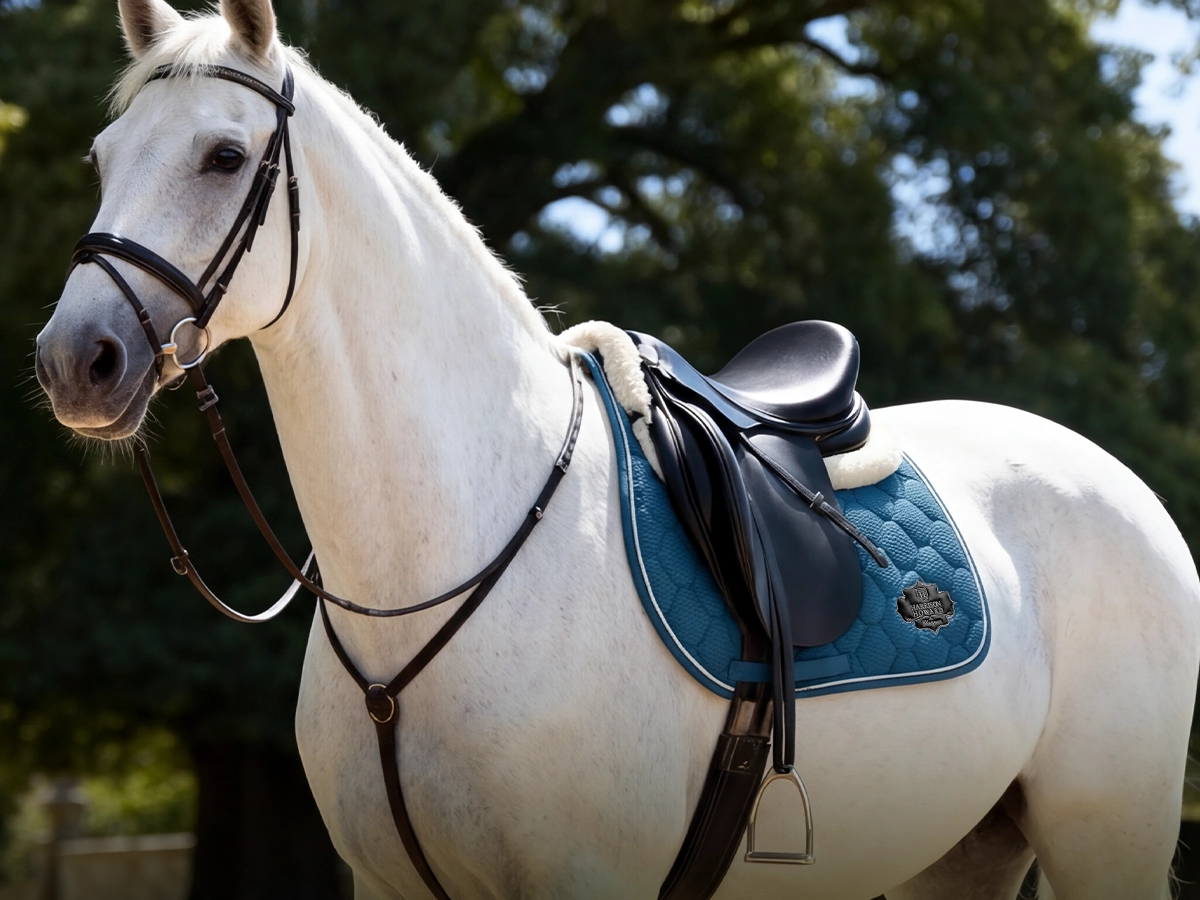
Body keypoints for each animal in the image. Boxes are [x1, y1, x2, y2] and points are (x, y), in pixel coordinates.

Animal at [32, 0, 1200, 897]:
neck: (453, 548)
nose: (74, 360)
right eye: (101, 159)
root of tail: (1120, 482)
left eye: (224, 156)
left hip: (1108, 835)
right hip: (963, 849)